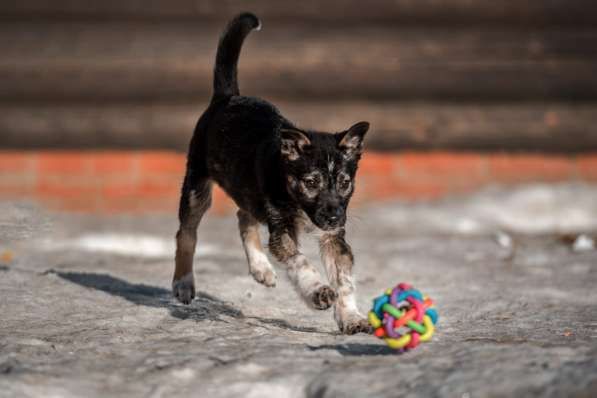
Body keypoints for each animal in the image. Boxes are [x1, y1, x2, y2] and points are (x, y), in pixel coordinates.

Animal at [170, 12, 370, 334]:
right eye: (310, 182)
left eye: (345, 183)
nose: (333, 217)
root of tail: (227, 97)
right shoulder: (282, 228)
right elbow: (300, 261)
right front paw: (317, 291)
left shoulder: (333, 238)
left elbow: (344, 279)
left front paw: (351, 317)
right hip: (197, 185)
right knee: (186, 233)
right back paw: (183, 284)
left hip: (246, 189)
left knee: (243, 216)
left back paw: (261, 268)